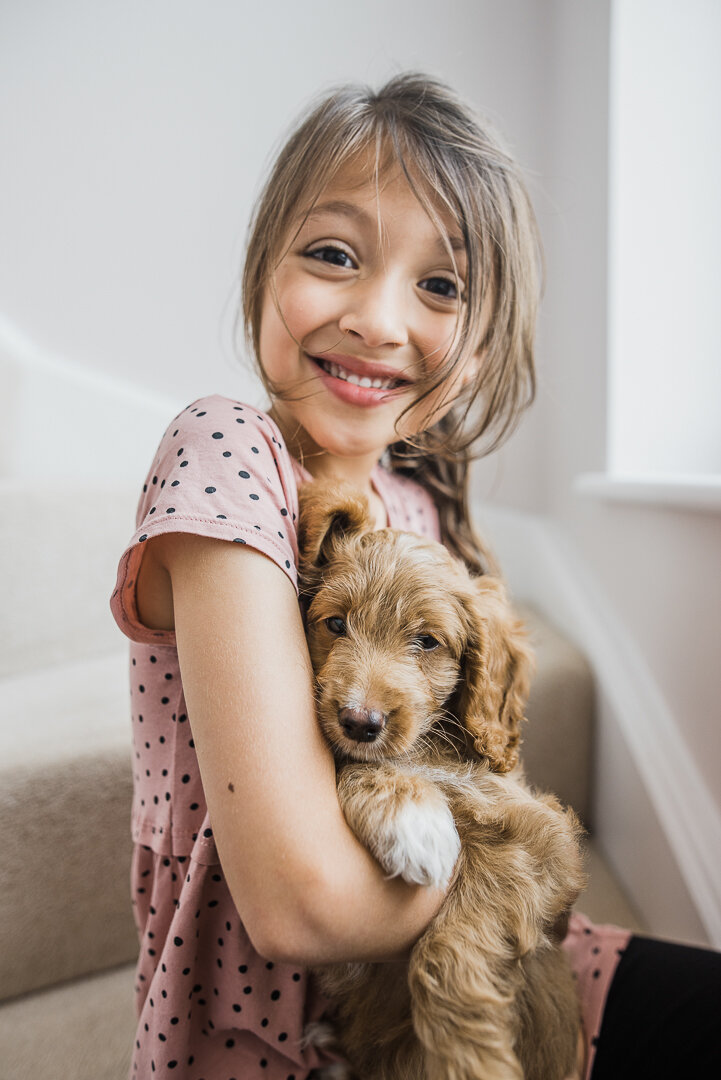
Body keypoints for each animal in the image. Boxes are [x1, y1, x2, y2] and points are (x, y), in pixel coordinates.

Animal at [297, 481, 587, 1080]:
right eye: (335, 624)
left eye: (427, 642)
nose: (359, 721)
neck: (427, 748)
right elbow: (354, 766)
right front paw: (415, 820)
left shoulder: (545, 843)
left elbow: (449, 943)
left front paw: (467, 1055)